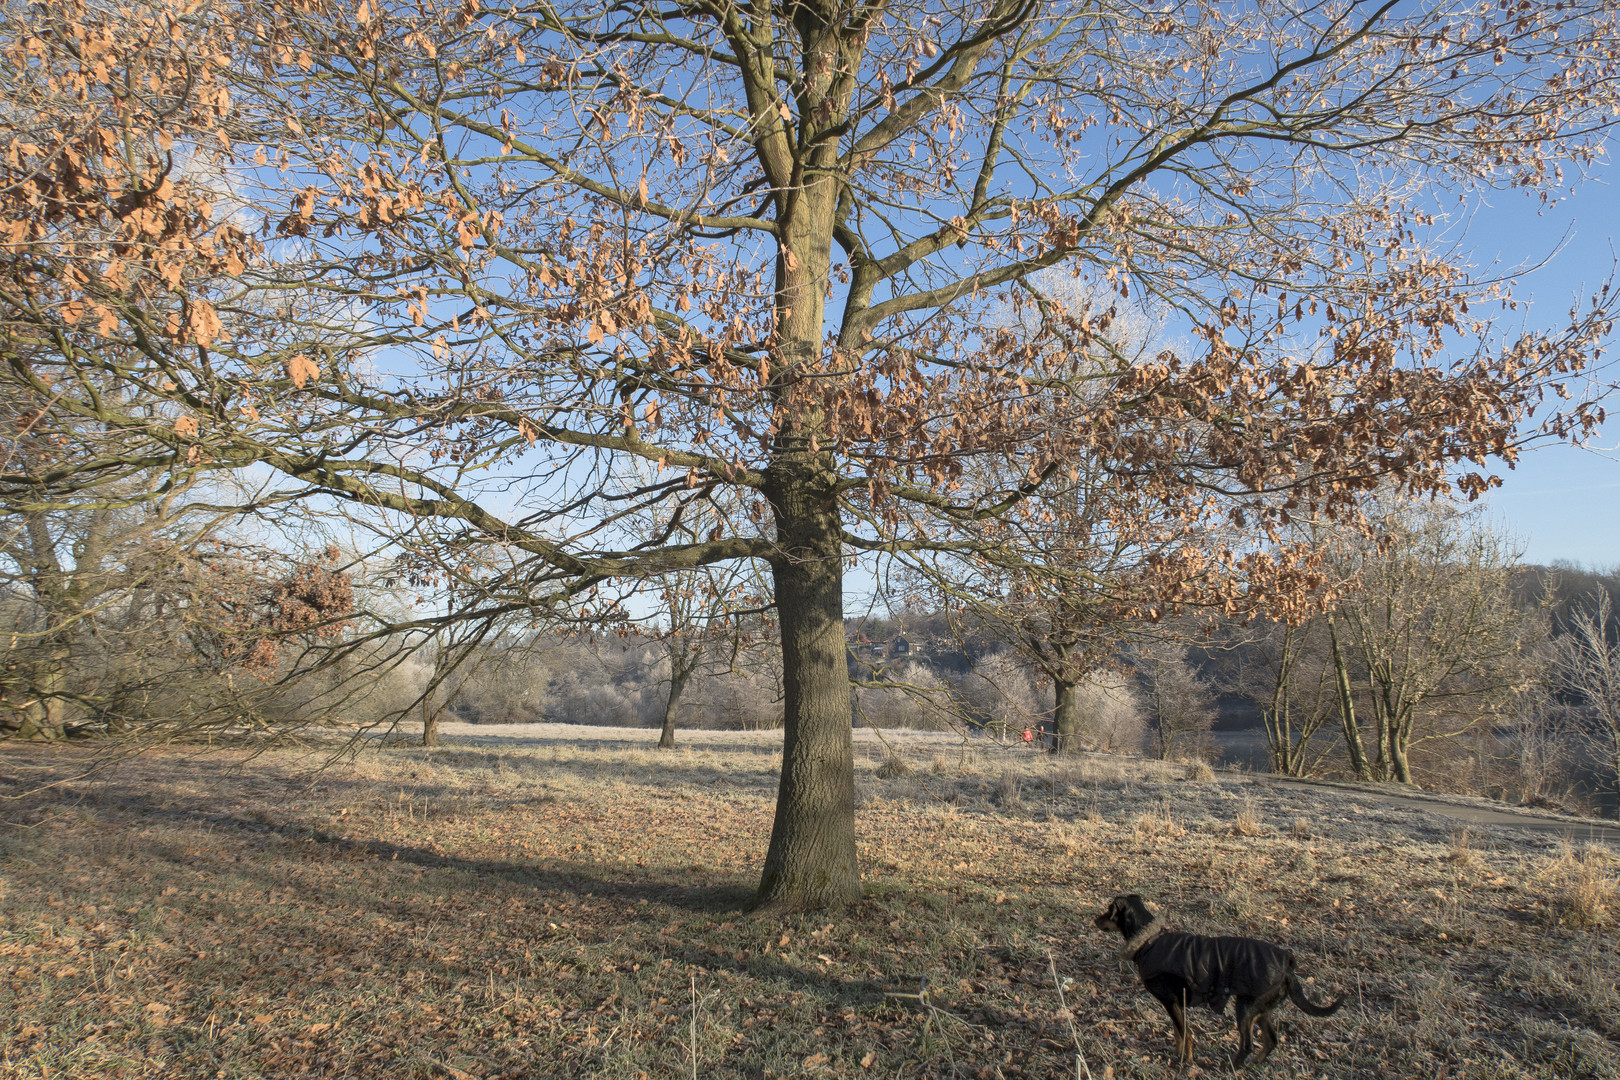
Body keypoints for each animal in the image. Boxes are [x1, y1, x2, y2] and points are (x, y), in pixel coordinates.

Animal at [1095, 893, 1347, 1062]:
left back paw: (1233, 1067)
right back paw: (1254, 1064)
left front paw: (1185, 1061)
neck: (1149, 940)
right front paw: (1178, 1053)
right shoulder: (1176, 1003)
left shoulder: (1171, 1001)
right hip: (1261, 1009)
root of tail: (1288, 965)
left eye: (1109, 911)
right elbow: (1178, 1032)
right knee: (1270, 1040)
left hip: (1245, 1007)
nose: (1095, 920)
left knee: (1247, 1045)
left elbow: (1185, 1033)